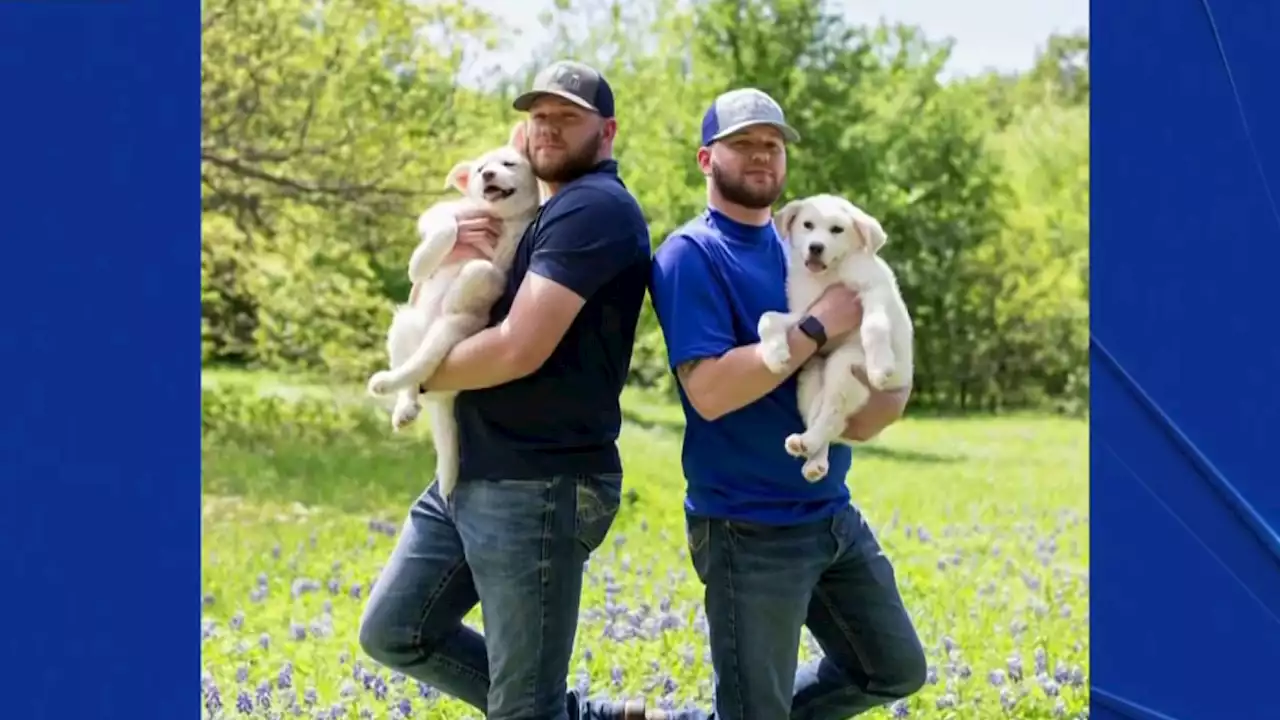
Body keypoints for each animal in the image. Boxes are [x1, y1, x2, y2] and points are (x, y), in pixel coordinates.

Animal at [366, 122, 540, 497]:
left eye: (508, 163)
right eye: (479, 169)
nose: (488, 174)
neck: (500, 219)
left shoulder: (506, 259)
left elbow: (484, 268)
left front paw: (464, 285)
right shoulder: (447, 213)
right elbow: (447, 226)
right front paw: (419, 265)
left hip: (450, 332)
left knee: (421, 365)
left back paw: (387, 384)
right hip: (405, 323)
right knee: (411, 377)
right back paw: (403, 405)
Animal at [752, 193, 916, 479]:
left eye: (837, 230)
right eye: (807, 225)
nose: (816, 247)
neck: (829, 274)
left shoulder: (874, 291)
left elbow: (873, 326)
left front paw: (880, 367)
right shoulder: (806, 312)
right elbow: (768, 317)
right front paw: (775, 356)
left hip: (846, 362)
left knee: (833, 413)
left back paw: (810, 443)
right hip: (811, 372)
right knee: (824, 415)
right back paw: (810, 453)